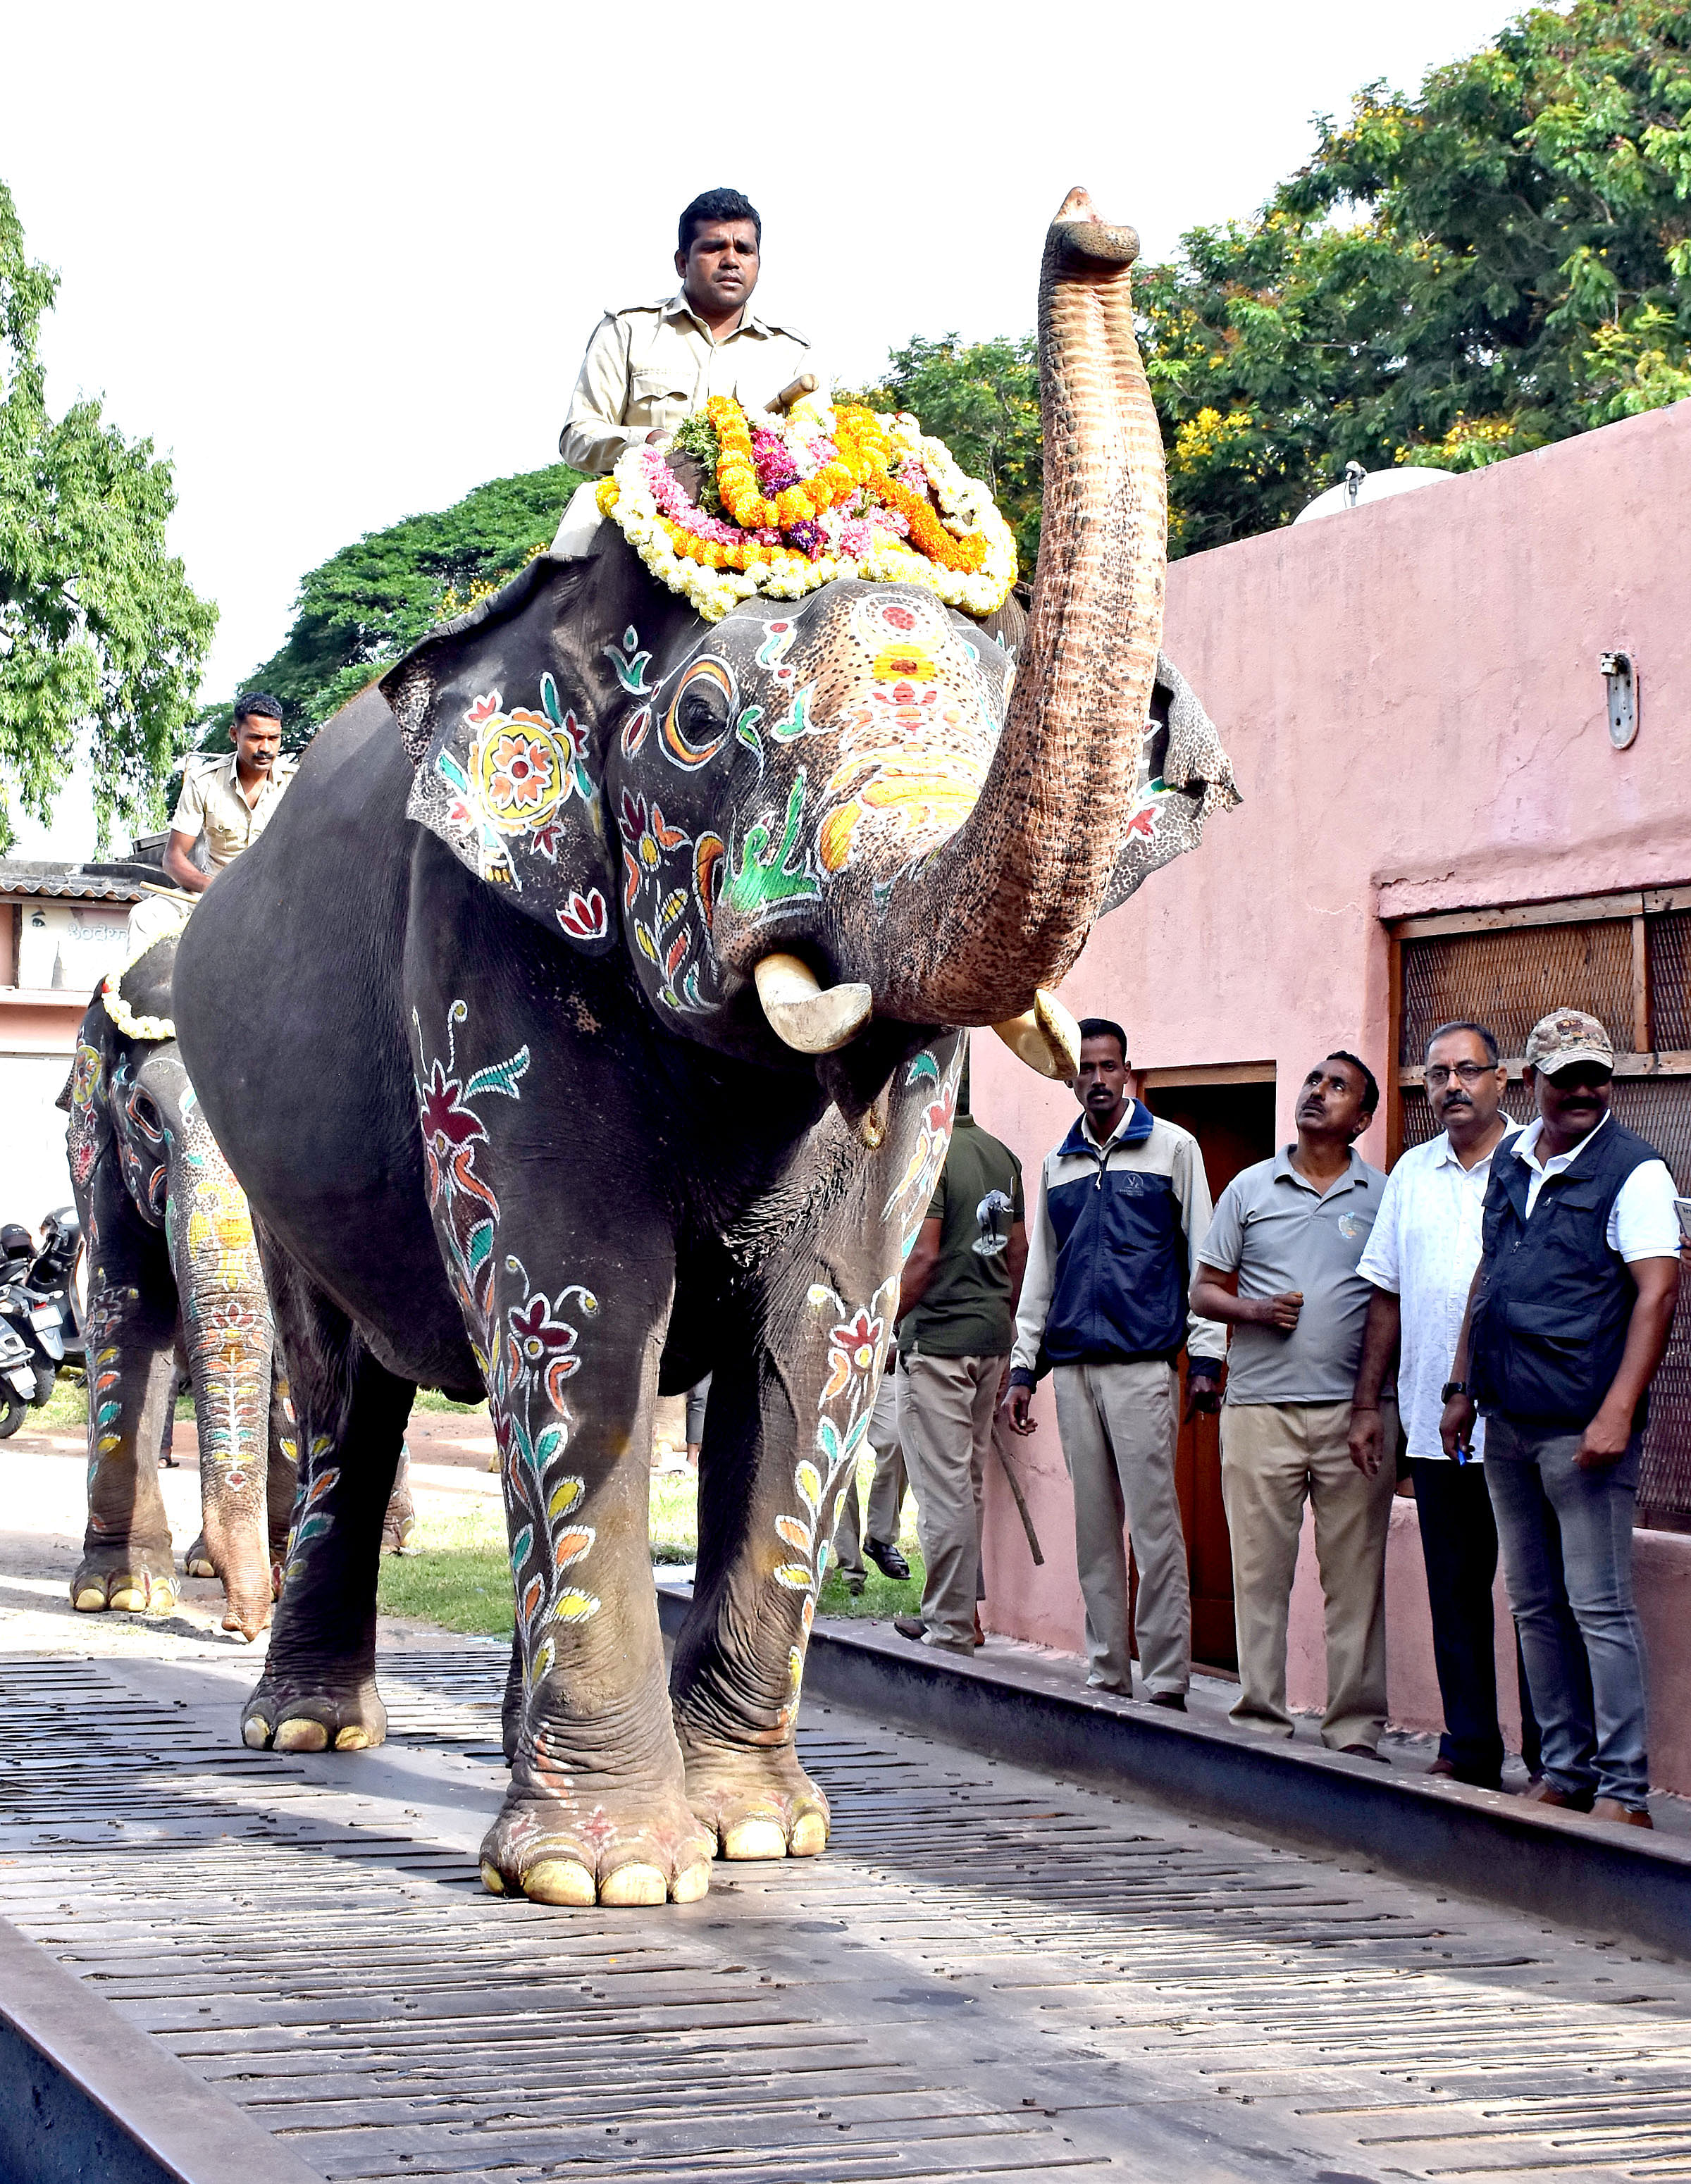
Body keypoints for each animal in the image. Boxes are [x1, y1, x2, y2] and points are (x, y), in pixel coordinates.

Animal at [179, 201, 1241, 1913]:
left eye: (998, 705)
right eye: (695, 724)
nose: (1095, 226)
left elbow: (826, 1322)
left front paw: (756, 1831)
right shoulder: (479, 938)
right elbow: (578, 1296)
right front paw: (608, 1878)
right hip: (261, 1165)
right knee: (343, 1388)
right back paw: (308, 1732)